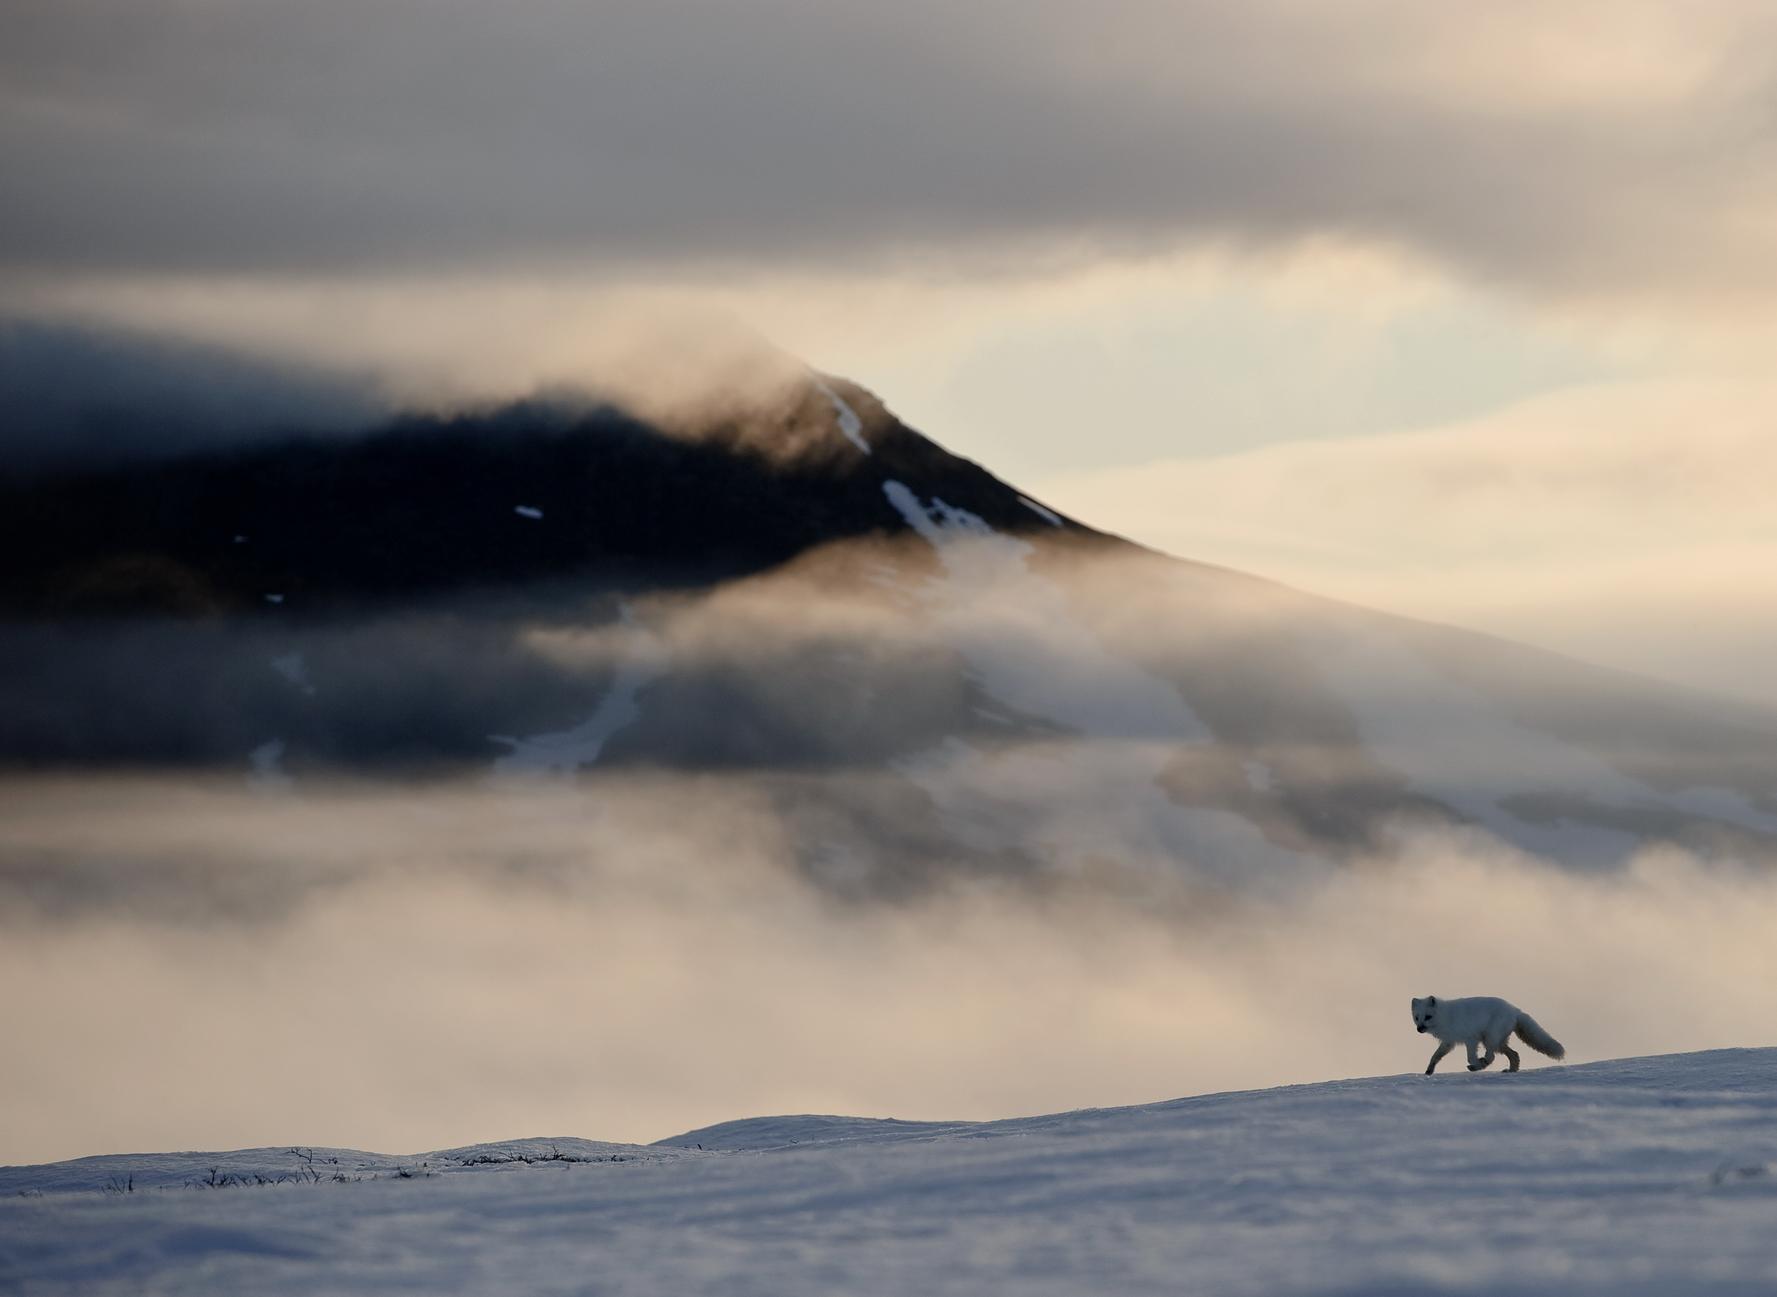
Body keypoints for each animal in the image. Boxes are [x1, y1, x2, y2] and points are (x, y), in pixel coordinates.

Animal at [1407, 987, 1563, 1073]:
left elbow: (1470, 1057)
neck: (1445, 1017)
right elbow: (1435, 1056)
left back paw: (1480, 1065)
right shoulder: (1448, 1042)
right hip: (1497, 1042)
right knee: (1514, 1054)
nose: (1419, 1029)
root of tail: (1515, 1010)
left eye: (1428, 1017)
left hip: (1489, 1039)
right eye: (1417, 1018)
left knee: (1492, 1056)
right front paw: (1429, 1071)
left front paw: (1476, 1063)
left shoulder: (1471, 1039)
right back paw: (1510, 1071)